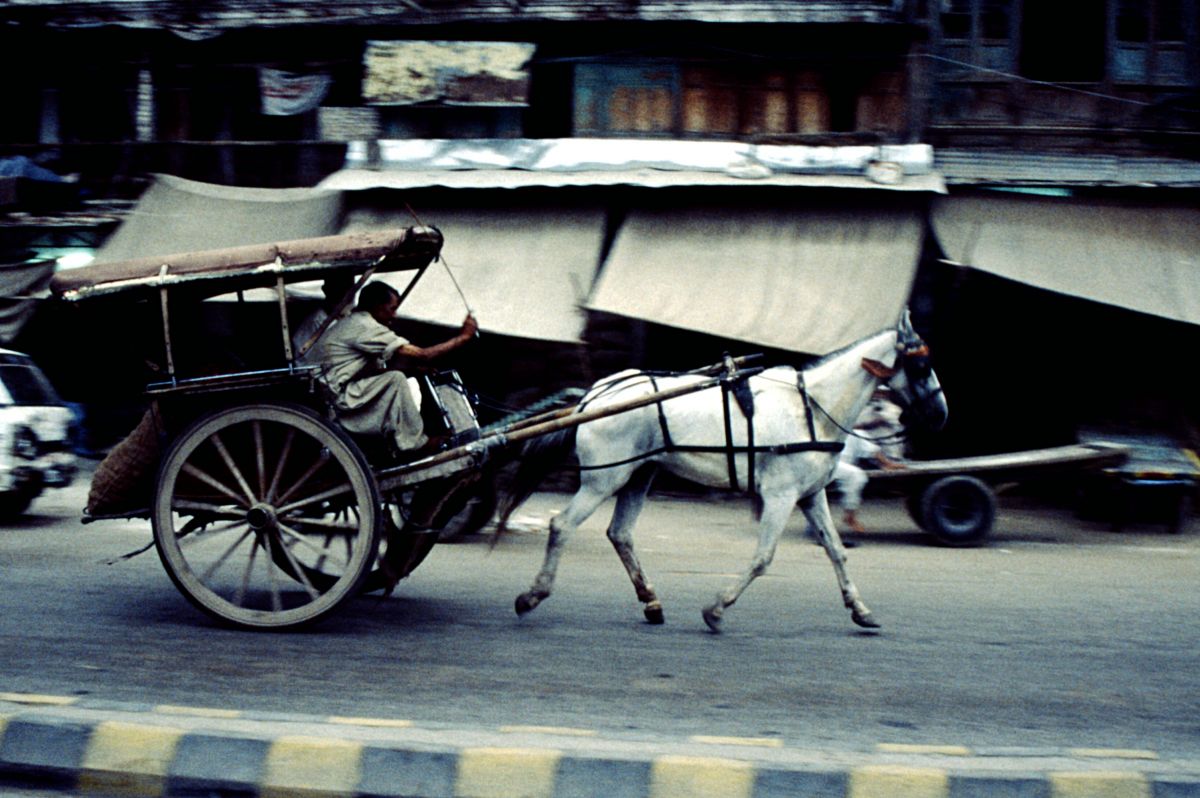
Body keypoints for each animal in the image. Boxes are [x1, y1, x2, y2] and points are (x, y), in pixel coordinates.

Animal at [496, 312, 945, 628]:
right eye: (921, 366)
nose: (942, 415)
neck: (811, 408)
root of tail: (594, 395)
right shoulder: (780, 495)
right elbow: (763, 558)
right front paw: (716, 609)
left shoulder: (809, 495)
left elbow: (836, 550)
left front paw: (860, 609)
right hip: (603, 478)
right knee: (562, 526)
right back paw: (532, 595)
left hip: (639, 475)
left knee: (620, 534)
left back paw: (651, 602)